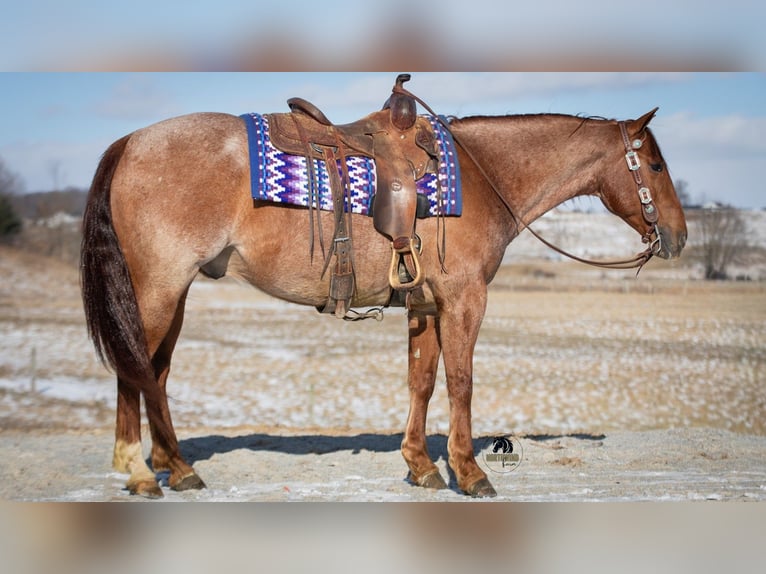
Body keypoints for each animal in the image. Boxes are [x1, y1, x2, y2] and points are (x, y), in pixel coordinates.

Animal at [80, 105, 687, 499]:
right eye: (656, 166)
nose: (678, 237)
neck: (481, 177)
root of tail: (129, 142)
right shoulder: (464, 300)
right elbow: (461, 381)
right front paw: (470, 473)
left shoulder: (424, 304)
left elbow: (422, 380)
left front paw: (421, 466)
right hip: (156, 292)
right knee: (134, 371)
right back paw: (141, 471)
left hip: (173, 295)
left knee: (154, 373)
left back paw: (175, 467)